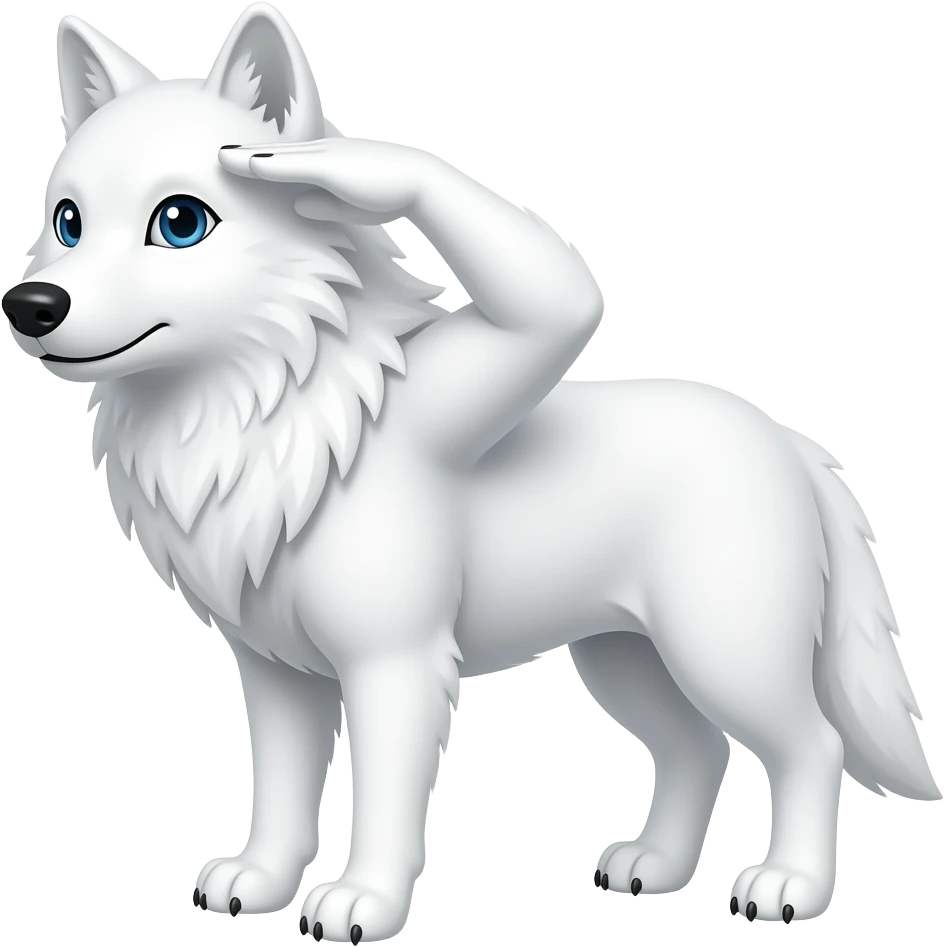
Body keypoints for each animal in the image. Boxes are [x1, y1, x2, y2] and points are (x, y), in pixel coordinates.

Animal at [2, 2, 938, 941]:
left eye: (181, 222)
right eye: (67, 221)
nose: (30, 305)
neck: (266, 415)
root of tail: (789, 437)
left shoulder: (395, 660)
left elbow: (381, 801)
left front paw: (362, 903)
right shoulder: (276, 675)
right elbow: (280, 795)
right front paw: (258, 885)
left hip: (721, 651)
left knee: (810, 745)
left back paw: (789, 887)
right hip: (624, 660)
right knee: (695, 747)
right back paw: (654, 868)